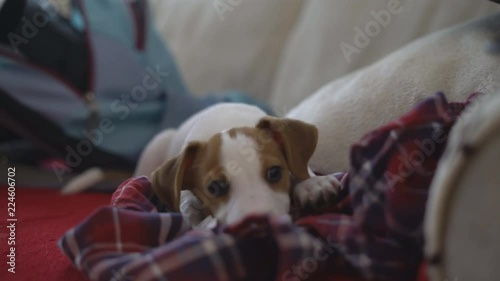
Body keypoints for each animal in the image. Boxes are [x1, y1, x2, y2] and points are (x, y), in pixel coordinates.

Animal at [134, 102, 340, 225]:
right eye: (214, 187)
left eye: (274, 173)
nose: (258, 221)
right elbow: (187, 207)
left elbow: (299, 167)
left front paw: (311, 183)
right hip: (156, 146)